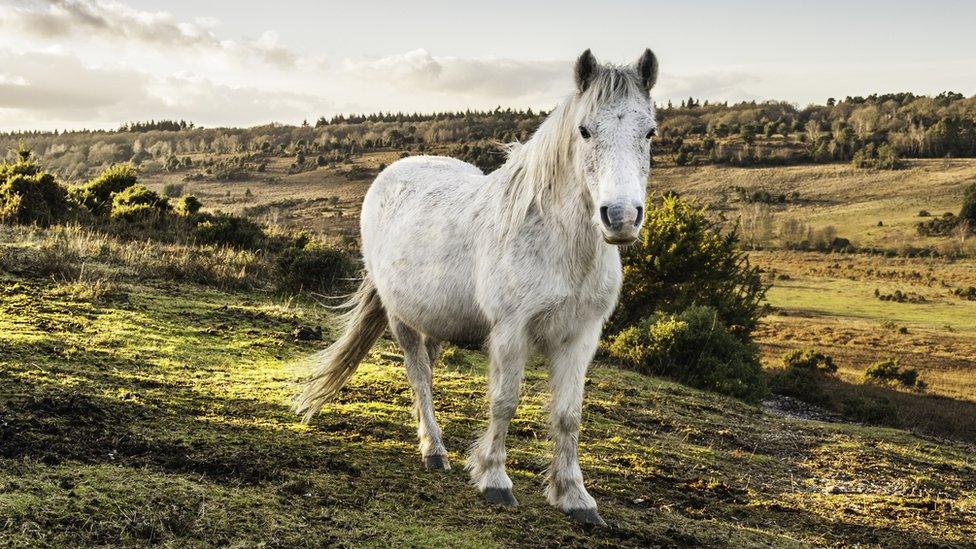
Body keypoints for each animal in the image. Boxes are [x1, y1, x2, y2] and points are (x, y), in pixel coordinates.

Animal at [298, 49, 660, 524]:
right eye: (585, 130)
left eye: (650, 132)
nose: (620, 217)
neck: (559, 242)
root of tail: (397, 169)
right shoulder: (510, 331)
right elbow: (504, 401)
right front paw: (494, 479)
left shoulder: (581, 336)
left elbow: (568, 415)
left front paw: (575, 497)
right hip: (401, 318)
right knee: (418, 375)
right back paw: (434, 451)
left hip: (435, 319)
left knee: (427, 369)